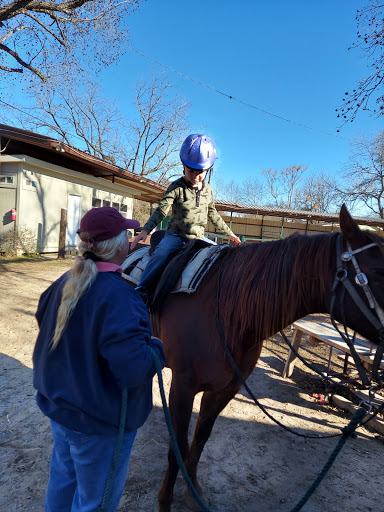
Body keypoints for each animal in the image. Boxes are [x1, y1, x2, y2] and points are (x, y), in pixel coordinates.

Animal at [134, 206, 384, 510]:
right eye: (378, 270)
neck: (226, 312)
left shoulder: (225, 389)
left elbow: (201, 437)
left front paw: (193, 492)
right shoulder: (182, 388)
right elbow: (177, 449)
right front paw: (165, 500)